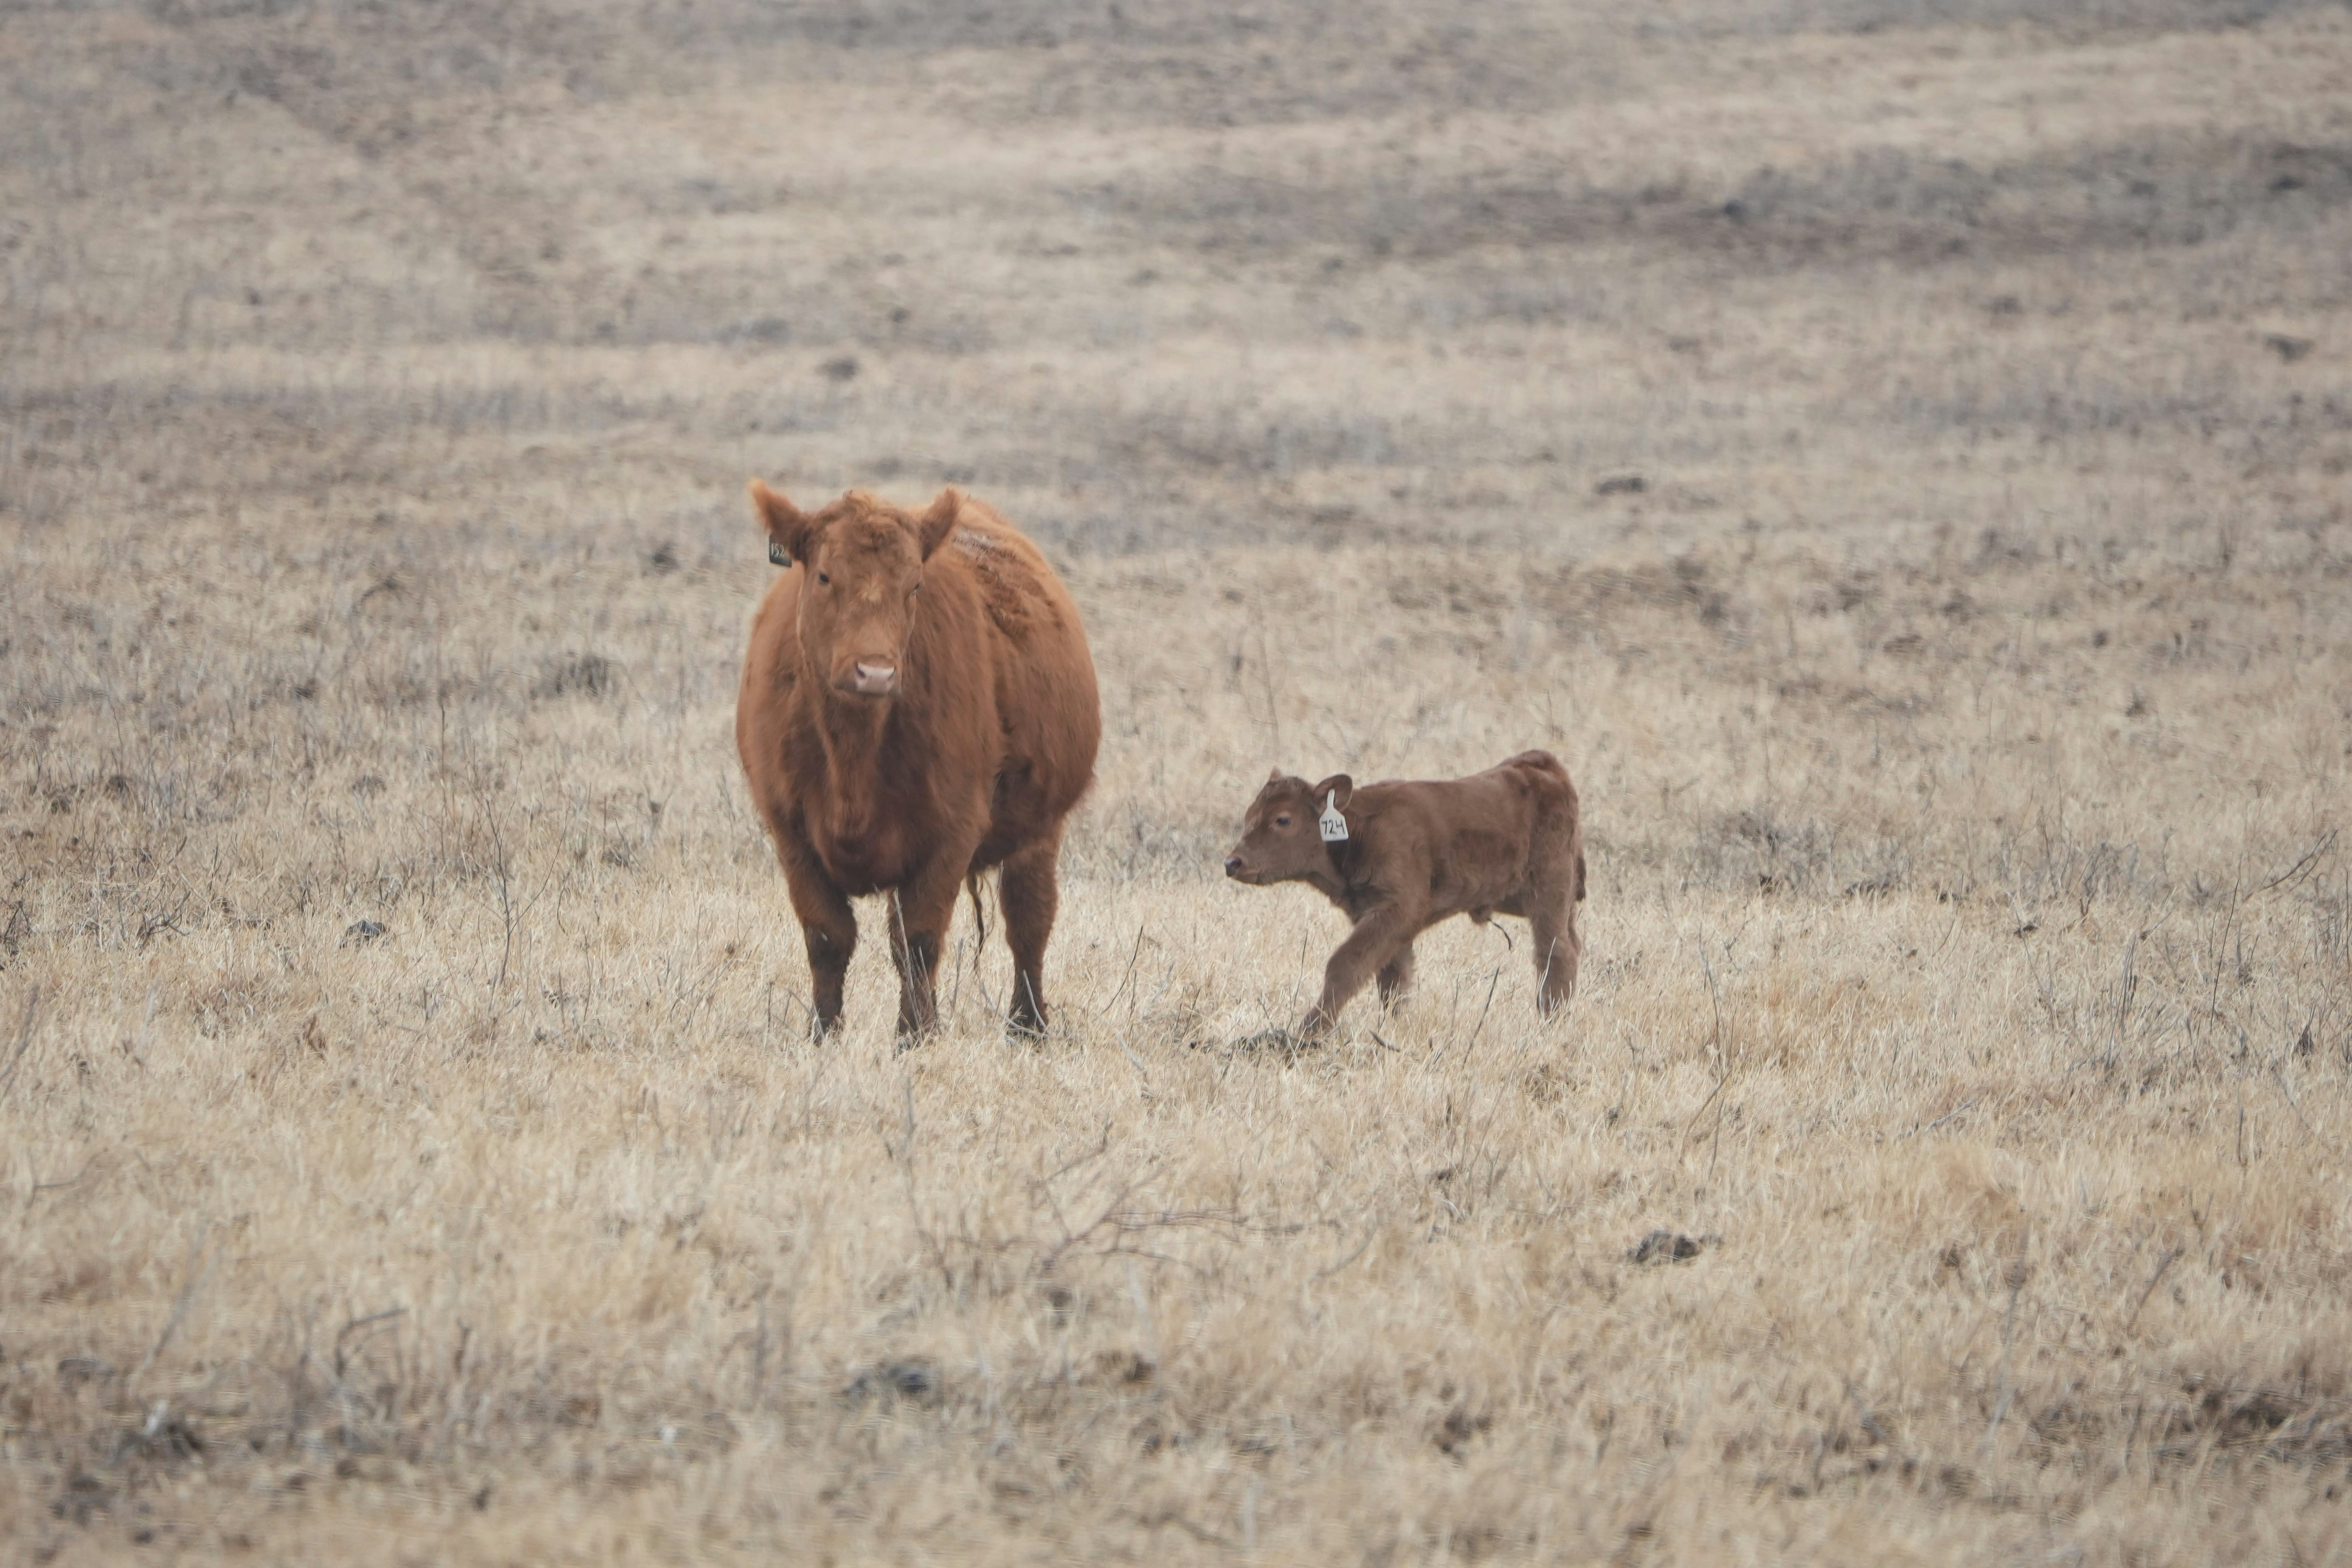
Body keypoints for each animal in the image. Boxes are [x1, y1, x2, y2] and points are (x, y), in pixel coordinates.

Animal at [735, 482, 1100, 1041]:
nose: (875, 672)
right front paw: (823, 1033)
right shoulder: (790, 833)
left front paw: (914, 1036)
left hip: (1040, 830)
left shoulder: (952, 833)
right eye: (824, 577)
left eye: (914, 586)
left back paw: (1028, 1025)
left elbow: (918, 941)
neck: (852, 755)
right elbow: (826, 937)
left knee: (1029, 922)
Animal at [1222, 750, 1586, 1039]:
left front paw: (1308, 1031)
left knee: (1555, 952)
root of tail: (1538, 766)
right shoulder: (1377, 917)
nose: (1233, 863)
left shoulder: (1398, 909)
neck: (1359, 830)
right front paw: (1392, 1028)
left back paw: (1552, 1022)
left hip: (1548, 891)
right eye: (1249, 815)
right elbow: (1393, 979)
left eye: (1283, 819)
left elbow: (1346, 964)